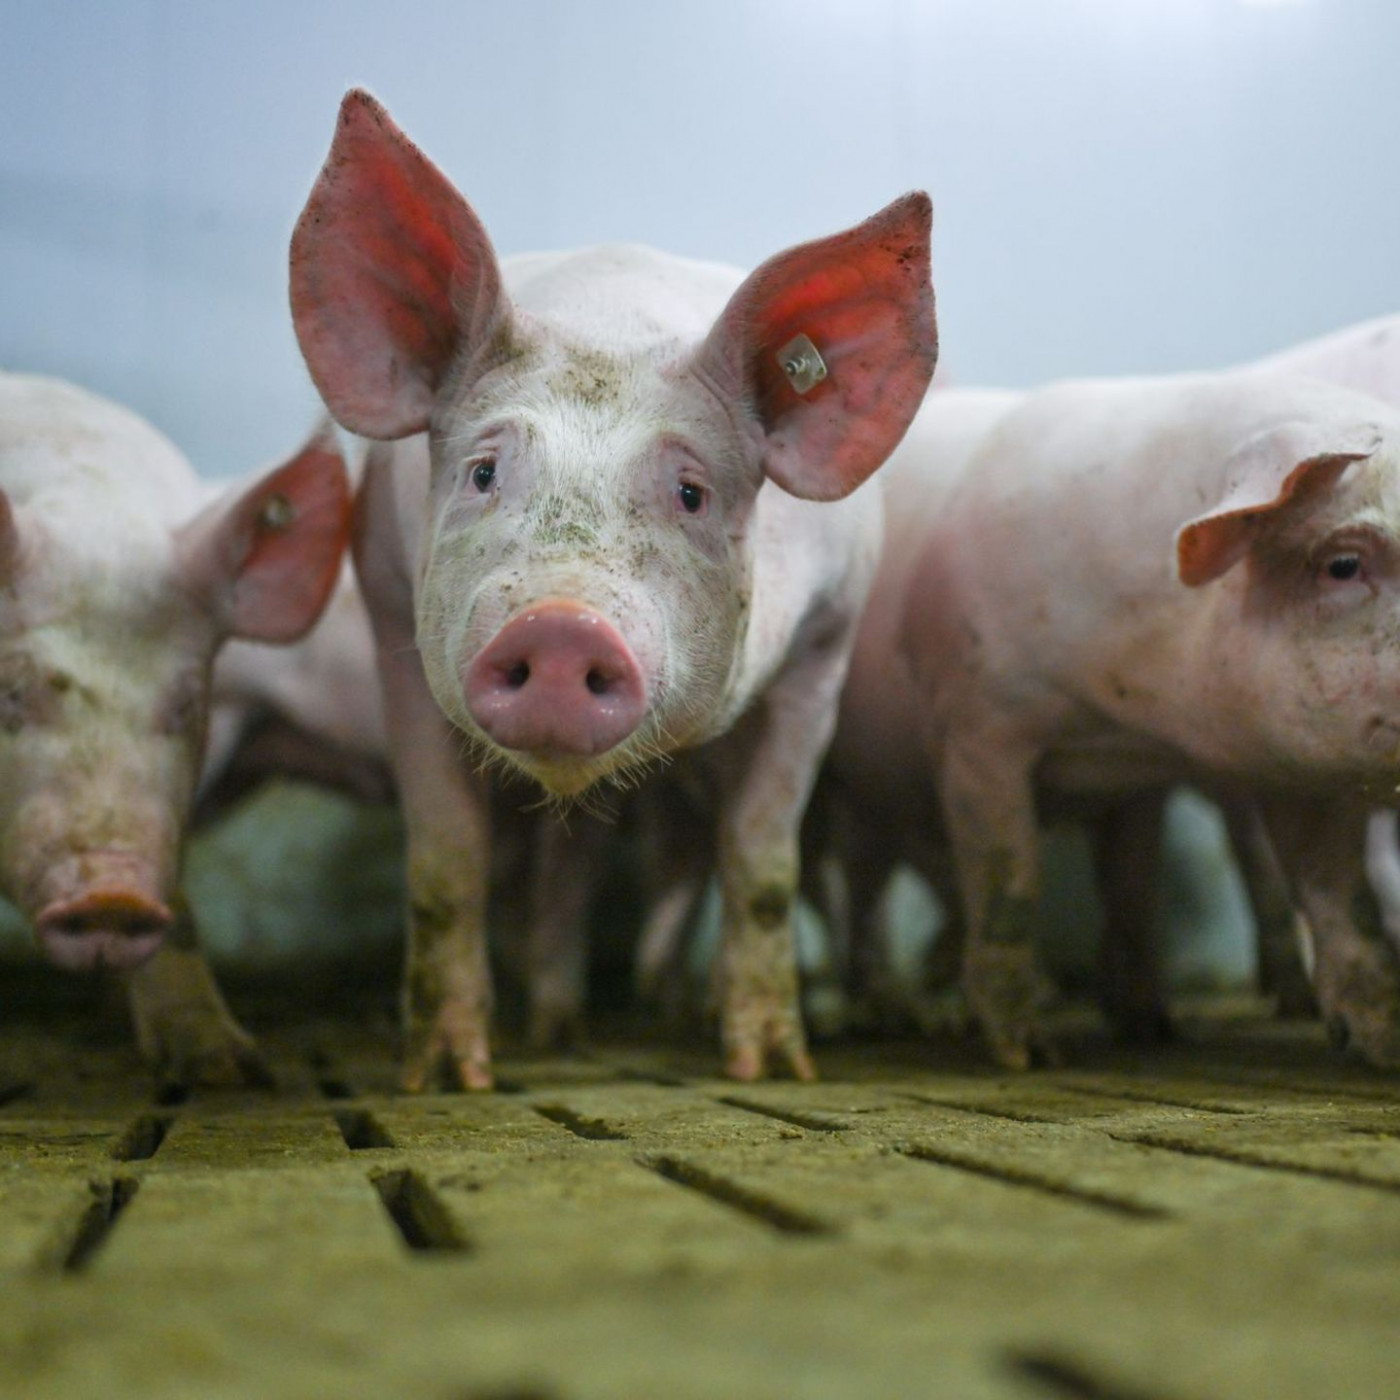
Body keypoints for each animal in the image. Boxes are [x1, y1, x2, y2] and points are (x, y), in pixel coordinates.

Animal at [290, 89, 937, 1088]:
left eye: (691, 492)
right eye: (483, 472)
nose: (562, 625)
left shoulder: (824, 648)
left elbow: (762, 865)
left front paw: (770, 1067)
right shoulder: (392, 604)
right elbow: (445, 861)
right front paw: (447, 1077)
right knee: (574, 864)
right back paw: (555, 1033)